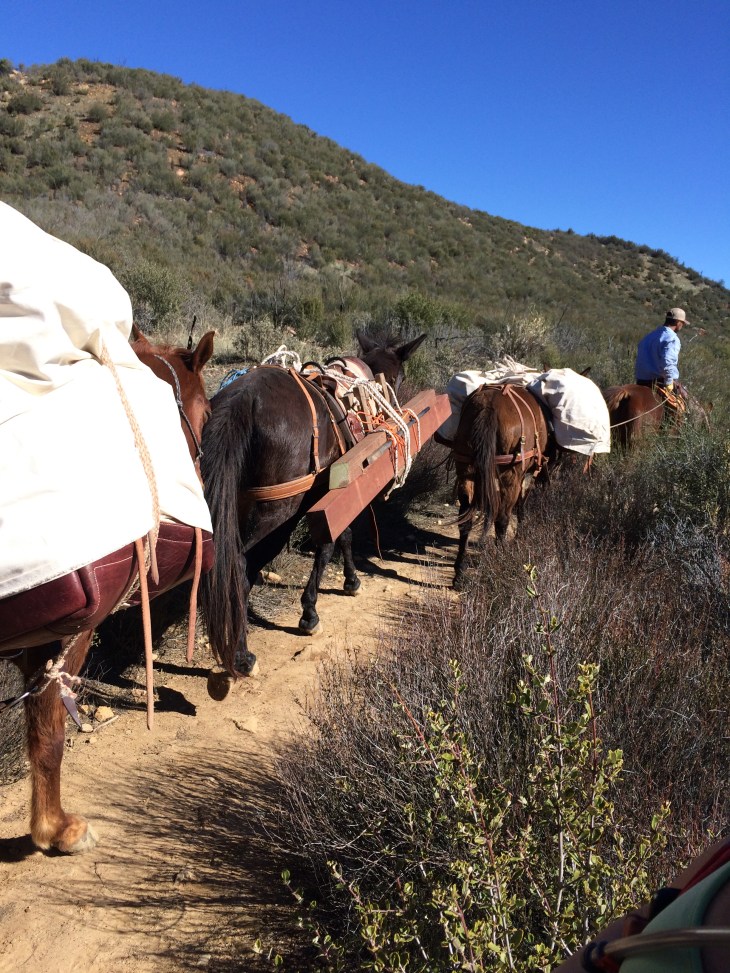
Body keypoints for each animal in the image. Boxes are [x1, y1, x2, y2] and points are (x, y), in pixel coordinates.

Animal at [199, 329, 426, 696]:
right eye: (399, 378)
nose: (390, 410)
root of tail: (243, 401)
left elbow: (342, 539)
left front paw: (349, 582)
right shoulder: (331, 499)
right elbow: (331, 545)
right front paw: (311, 612)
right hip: (277, 514)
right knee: (239, 567)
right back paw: (242, 657)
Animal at [451, 383, 551, 588]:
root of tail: (489, 407)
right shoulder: (527, 474)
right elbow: (521, 507)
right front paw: (519, 537)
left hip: (465, 468)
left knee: (466, 519)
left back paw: (459, 573)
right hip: (510, 474)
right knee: (502, 519)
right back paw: (501, 559)